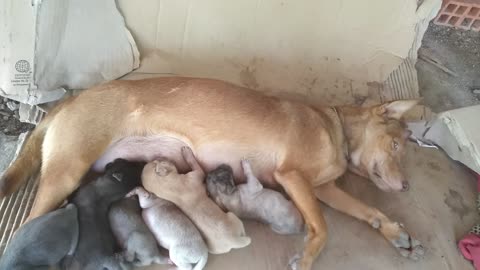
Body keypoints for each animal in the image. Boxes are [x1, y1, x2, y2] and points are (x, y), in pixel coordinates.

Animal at [0, 76, 422, 270]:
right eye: (396, 145)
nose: (405, 186)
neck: (333, 126)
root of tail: (68, 103)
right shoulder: (293, 178)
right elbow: (322, 227)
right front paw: (306, 257)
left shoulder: (322, 189)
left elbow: (368, 211)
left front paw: (394, 230)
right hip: (66, 173)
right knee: (29, 223)